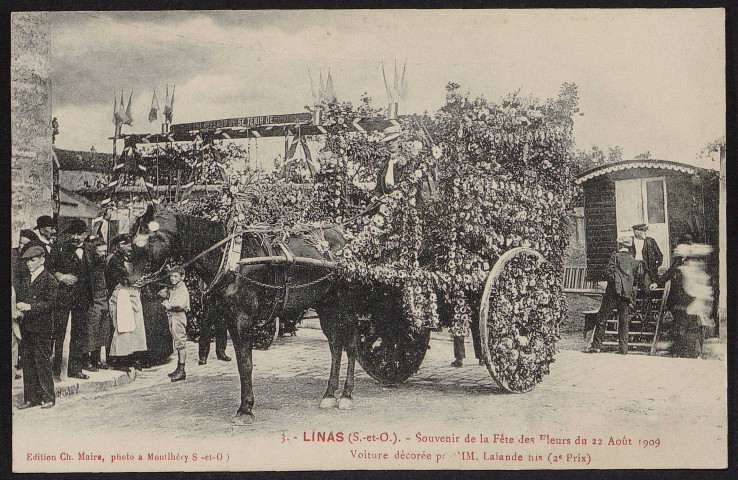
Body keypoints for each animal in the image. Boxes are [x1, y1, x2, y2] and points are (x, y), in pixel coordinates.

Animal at [131, 204, 366, 418]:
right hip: (326, 306)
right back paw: (329, 394)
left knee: (351, 346)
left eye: (144, 238)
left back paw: (346, 395)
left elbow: (246, 363)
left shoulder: (242, 320)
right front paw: (246, 403)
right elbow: (240, 362)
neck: (231, 259)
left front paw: (246, 408)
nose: (130, 278)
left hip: (346, 307)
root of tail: (346, 241)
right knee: (335, 346)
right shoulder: (230, 319)